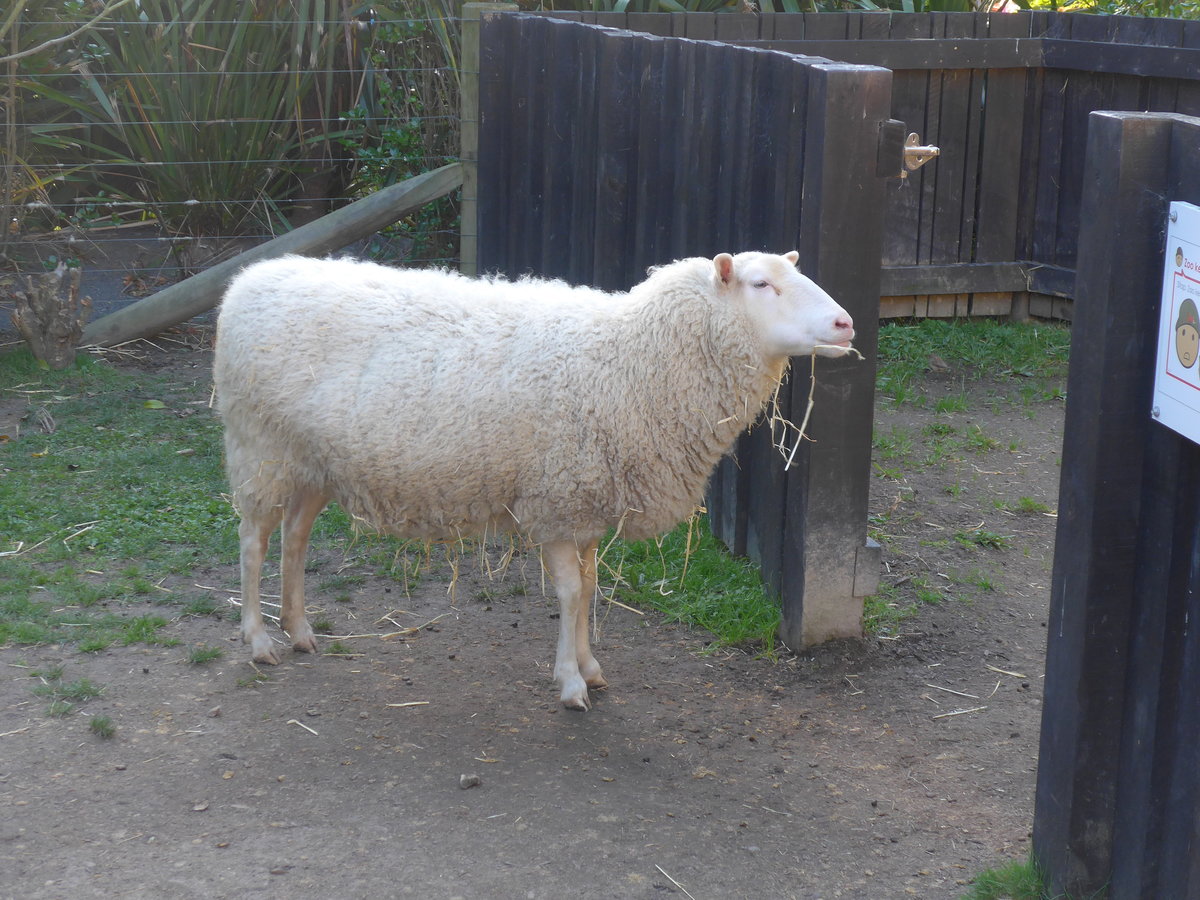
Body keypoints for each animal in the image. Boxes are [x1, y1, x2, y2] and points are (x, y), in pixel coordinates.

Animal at [213, 251, 855, 710]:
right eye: (761, 284)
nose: (846, 323)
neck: (634, 360)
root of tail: (249, 279)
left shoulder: (588, 502)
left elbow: (591, 588)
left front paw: (590, 668)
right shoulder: (558, 499)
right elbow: (571, 593)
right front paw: (570, 683)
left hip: (311, 462)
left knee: (294, 538)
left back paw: (299, 630)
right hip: (261, 447)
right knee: (252, 541)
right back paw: (259, 640)